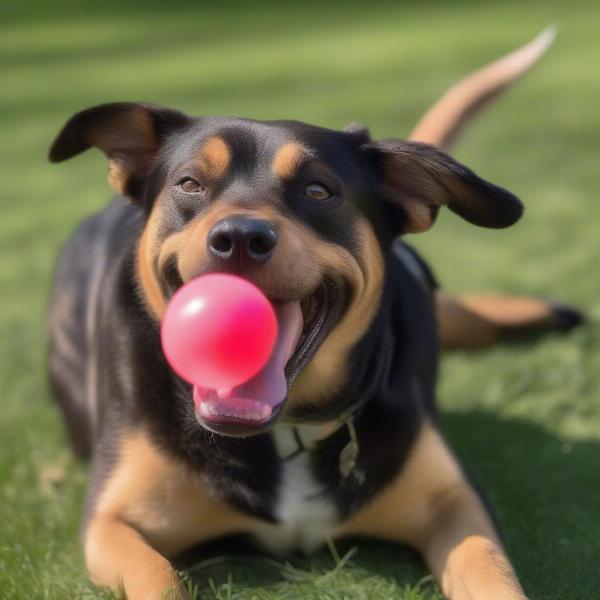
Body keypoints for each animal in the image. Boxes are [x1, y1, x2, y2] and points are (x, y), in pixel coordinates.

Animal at [47, 30, 576, 596]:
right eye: (189, 183)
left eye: (318, 189)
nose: (239, 237)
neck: (287, 430)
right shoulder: (112, 521)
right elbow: (158, 575)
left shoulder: (456, 502)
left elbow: (489, 568)